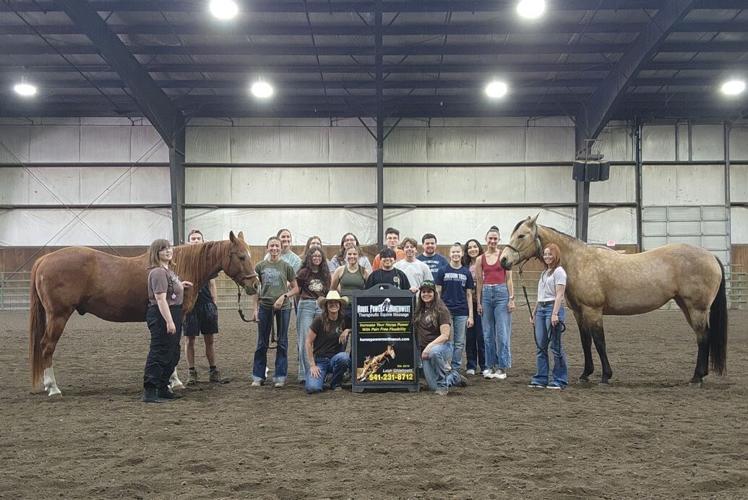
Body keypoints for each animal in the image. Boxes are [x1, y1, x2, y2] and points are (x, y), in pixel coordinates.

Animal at [29, 231, 260, 396]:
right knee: (47, 346)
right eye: (241, 256)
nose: (255, 285)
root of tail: (43, 260)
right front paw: (173, 382)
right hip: (58, 316)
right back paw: (53, 388)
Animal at [499, 215, 727, 386]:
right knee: (703, 337)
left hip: (696, 308)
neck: (579, 262)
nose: (504, 260)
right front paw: (585, 374)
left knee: (702, 337)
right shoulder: (579, 312)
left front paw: (605, 376)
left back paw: (696, 378)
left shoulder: (593, 311)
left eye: (521, 235)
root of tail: (711, 256)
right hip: (686, 306)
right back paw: (700, 375)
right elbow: (586, 342)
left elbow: (599, 342)